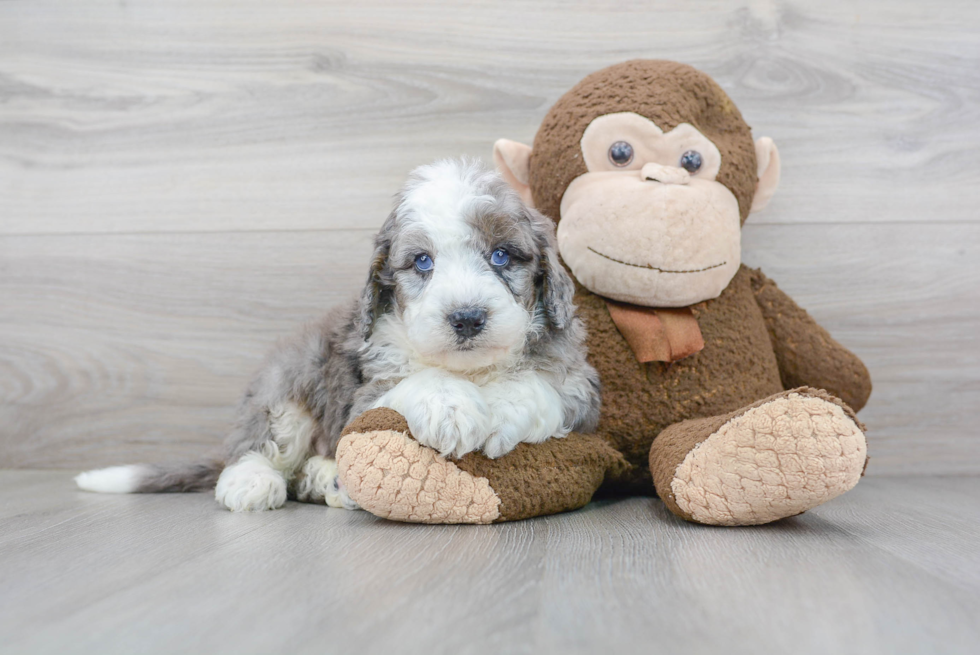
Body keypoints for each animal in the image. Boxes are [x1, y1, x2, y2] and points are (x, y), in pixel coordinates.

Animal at [74, 160, 596, 512]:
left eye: (502, 255)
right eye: (422, 262)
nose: (466, 317)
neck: (468, 369)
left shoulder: (582, 392)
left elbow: (541, 388)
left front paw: (503, 407)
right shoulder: (363, 392)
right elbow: (413, 384)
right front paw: (451, 407)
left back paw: (325, 480)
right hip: (290, 379)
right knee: (257, 442)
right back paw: (251, 481)